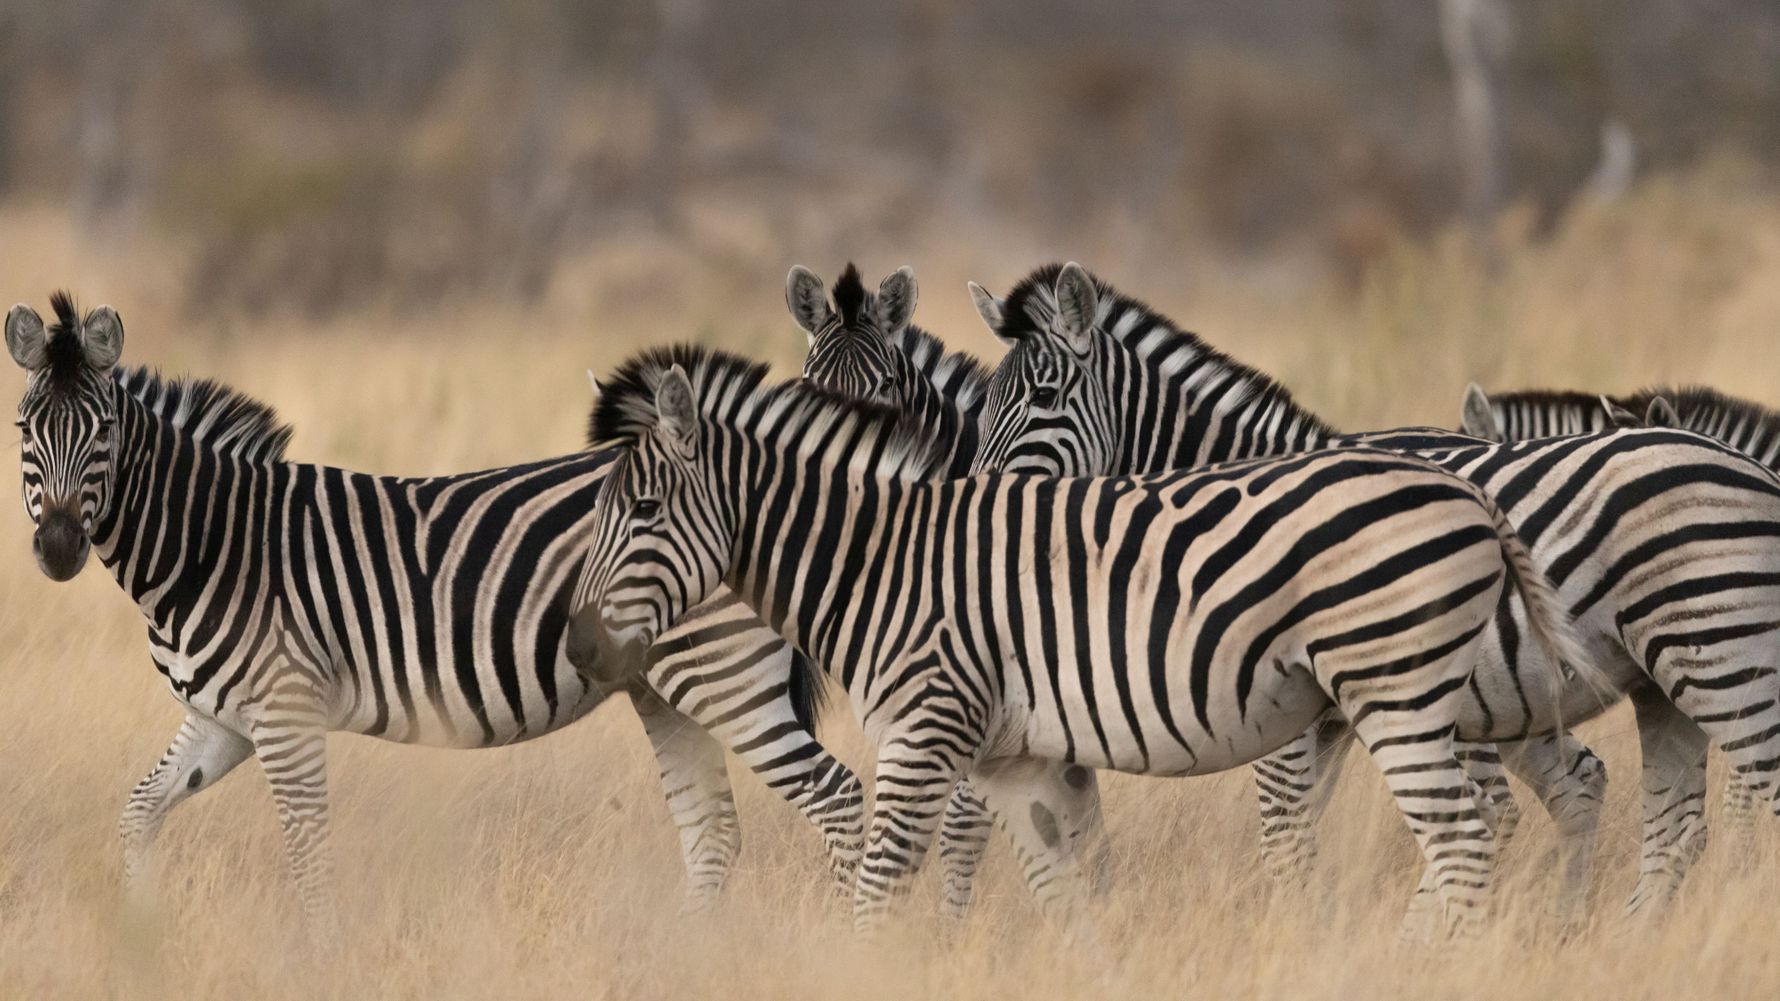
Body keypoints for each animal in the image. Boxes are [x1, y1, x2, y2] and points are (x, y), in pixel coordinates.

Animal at [5, 292, 868, 933]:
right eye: (23, 428)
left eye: (104, 429)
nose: (57, 547)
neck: (214, 543)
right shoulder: (222, 720)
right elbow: (138, 813)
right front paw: (139, 934)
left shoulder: (285, 715)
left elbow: (309, 861)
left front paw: (319, 963)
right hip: (664, 688)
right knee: (714, 831)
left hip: (723, 673)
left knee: (838, 800)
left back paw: (839, 946)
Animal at [566, 341, 1602, 933]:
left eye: (644, 511)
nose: (575, 648)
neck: (881, 563)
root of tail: (1468, 488)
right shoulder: (1013, 758)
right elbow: (1062, 891)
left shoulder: (924, 731)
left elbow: (880, 887)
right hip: (1431, 700)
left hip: (1397, 690)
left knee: (1465, 839)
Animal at [968, 258, 1780, 919]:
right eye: (986, 401)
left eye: (1045, 397)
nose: (978, 498)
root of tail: (1754, 472)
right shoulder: (1328, 718)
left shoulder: (1296, 717)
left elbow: (1286, 843)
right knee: (1642, 812)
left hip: (1717, 657)